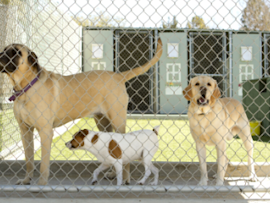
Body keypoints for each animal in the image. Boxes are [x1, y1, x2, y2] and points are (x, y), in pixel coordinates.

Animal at [0, 38, 162, 185]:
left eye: (16, 52)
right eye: (4, 49)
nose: (0, 55)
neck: (25, 87)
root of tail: (119, 75)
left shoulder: (45, 131)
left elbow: (44, 164)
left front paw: (41, 184)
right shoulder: (25, 131)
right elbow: (29, 160)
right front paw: (26, 180)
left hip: (118, 120)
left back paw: (126, 178)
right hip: (103, 122)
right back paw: (112, 173)